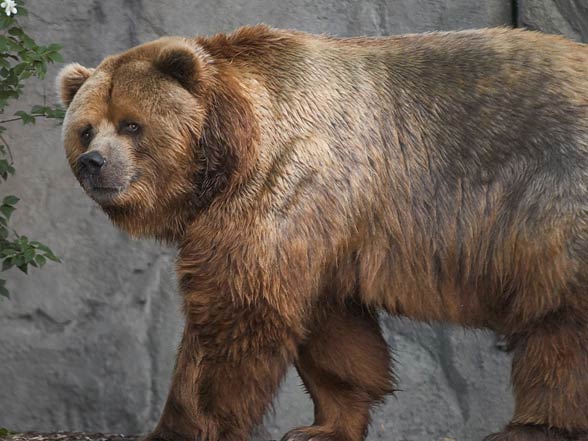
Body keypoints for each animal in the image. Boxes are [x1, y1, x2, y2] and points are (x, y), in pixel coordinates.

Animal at [57, 24, 588, 440]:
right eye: (85, 129)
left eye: (132, 124)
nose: (93, 163)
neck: (230, 153)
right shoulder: (324, 229)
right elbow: (332, 329)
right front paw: (322, 426)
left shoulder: (288, 178)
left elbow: (236, 310)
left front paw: (178, 425)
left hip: (553, 197)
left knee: (560, 322)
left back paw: (536, 426)